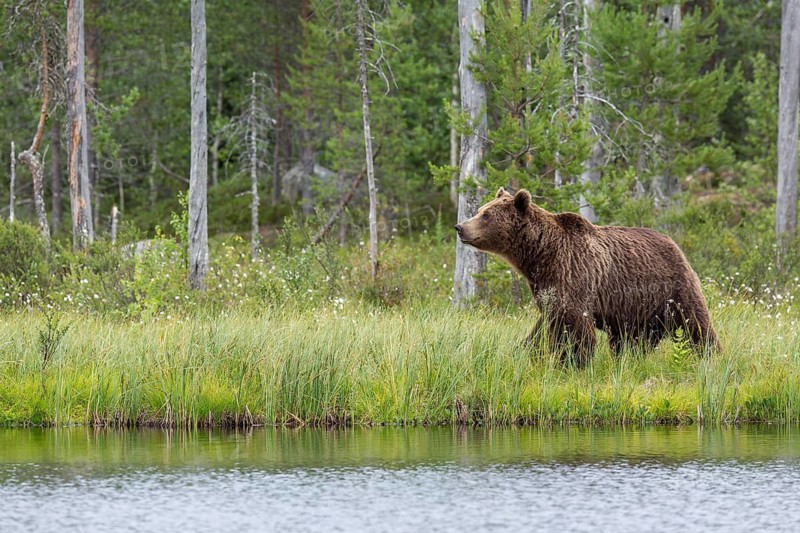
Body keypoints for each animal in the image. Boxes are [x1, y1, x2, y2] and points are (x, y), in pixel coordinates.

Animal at [454, 187, 719, 366]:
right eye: (479, 210)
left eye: (486, 215)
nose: (460, 227)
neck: (540, 255)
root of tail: (675, 244)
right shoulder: (546, 288)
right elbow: (545, 327)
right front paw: (529, 351)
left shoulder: (573, 274)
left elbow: (576, 329)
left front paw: (572, 362)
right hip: (635, 308)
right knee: (633, 340)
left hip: (672, 288)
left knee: (696, 323)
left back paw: (710, 355)